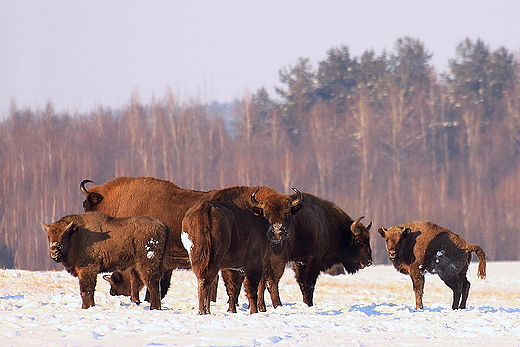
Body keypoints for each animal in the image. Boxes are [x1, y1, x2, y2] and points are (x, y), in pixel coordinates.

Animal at [183, 186, 302, 316]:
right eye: (266, 214)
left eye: (288, 214)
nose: (277, 232)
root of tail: (206, 208)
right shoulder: (254, 264)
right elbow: (251, 289)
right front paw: (254, 312)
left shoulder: (231, 267)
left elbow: (232, 289)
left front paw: (231, 311)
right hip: (213, 258)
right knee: (206, 280)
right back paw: (204, 312)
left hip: (197, 257)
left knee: (202, 280)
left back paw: (203, 311)